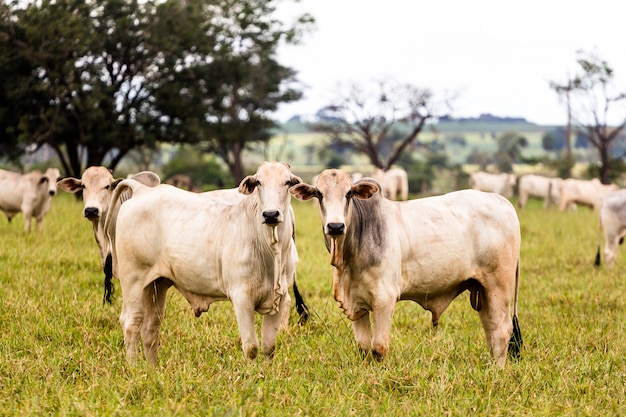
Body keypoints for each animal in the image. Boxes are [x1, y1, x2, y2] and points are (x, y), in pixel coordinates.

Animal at [103, 161, 302, 362]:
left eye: (287, 182)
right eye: (259, 182)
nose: (271, 214)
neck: (270, 251)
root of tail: (141, 190)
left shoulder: (280, 298)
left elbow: (269, 347)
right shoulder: (241, 298)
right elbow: (251, 347)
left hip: (156, 284)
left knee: (150, 327)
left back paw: (152, 367)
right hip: (133, 281)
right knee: (131, 322)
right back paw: (133, 366)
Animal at [288, 169, 520, 368]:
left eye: (348, 194)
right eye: (319, 194)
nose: (335, 226)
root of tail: (504, 202)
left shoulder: (384, 298)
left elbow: (378, 347)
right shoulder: (356, 303)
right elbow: (364, 347)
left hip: (499, 286)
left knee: (502, 330)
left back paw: (497, 370)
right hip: (482, 289)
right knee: (490, 327)